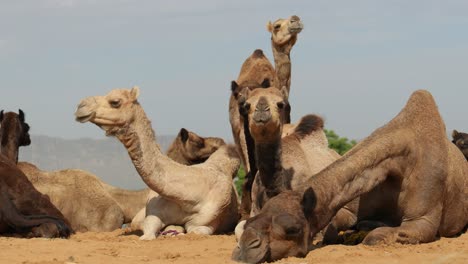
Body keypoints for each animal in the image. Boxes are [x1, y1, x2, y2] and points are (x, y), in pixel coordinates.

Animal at [76, 86, 241, 239]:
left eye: (115, 102)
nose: (80, 106)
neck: (185, 197)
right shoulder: (152, 213)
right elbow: (149, 231)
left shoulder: (206, 222)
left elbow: (193, 231)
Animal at [234, 89, 468, 262]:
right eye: (252, 218)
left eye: (292, 229)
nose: (245, 248)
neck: (401, 156)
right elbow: (334, 226)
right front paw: (351, 232)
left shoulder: (421, 220)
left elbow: (379, 237)